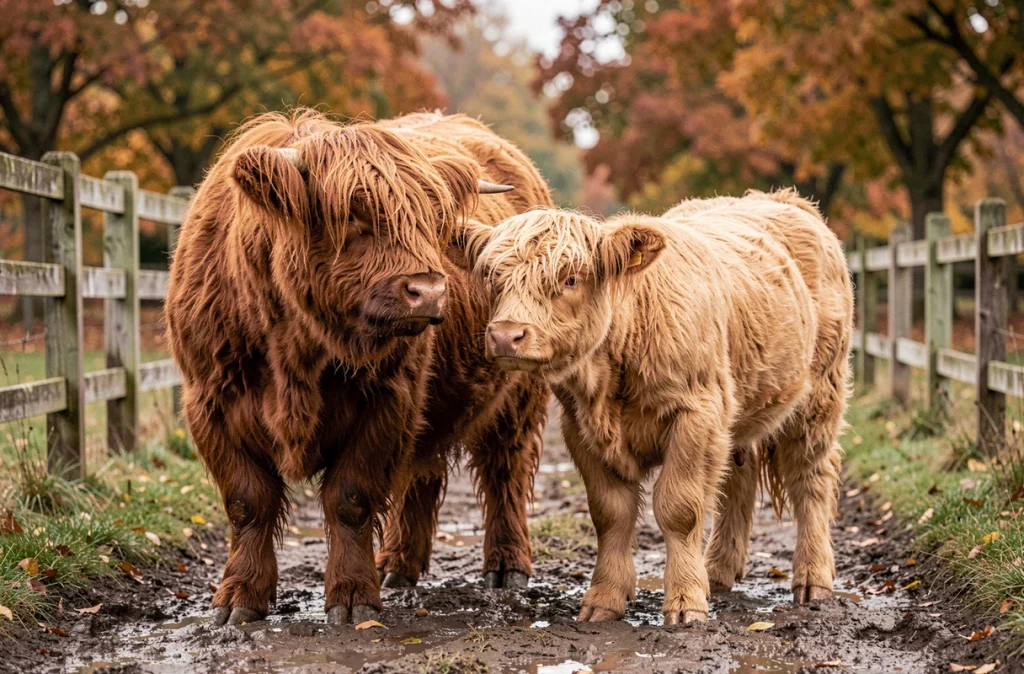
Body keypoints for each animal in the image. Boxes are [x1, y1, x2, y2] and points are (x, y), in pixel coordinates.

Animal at [165, 108, 550, 627]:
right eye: (353, 215)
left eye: (433, 221)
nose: (430, 290)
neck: (297, 348)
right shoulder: (210, 403)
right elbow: (248, 502)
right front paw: (239, 596)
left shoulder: (389, 399)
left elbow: (350, 497)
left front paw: (352, 597)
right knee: (422, 475)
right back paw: (399, 565)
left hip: (518, 394)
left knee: (504, 471)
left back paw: (507, 568)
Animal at [453, 190, 853, 625]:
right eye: (492, 277)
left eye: (570, 278)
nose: (506, 335)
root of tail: (781, 199)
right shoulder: (581, 429)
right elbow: (610, 513)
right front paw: (605, 598)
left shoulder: (696, 416)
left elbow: (679, 508)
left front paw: (686, 601)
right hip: (738, 410)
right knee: (738, 480)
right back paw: (717, 572)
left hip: (819, 398)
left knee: (810, 479)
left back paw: (812, 579)